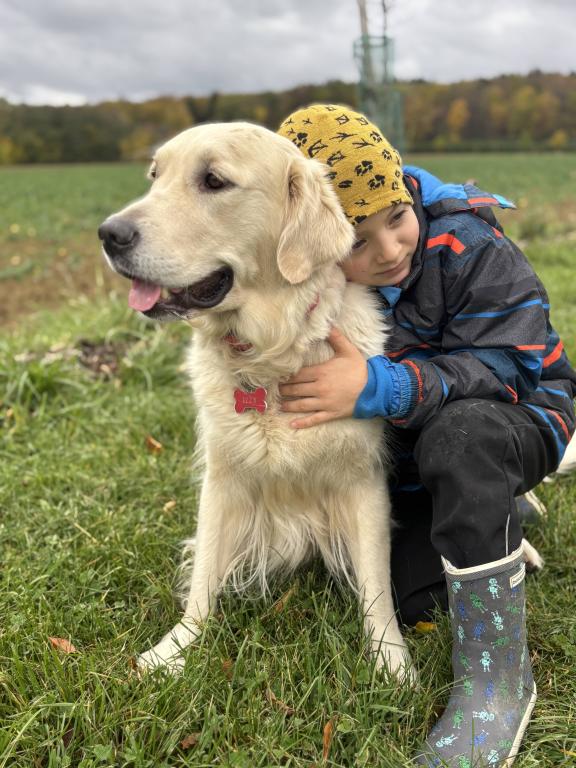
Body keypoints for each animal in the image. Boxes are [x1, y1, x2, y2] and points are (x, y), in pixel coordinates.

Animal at [98, 122, 415, 680]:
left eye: (214, 181)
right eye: (156, 176)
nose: (109, 234)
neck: (272, 358)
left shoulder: (363, 482)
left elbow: (377, 586)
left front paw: (390, 662)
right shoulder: (222, 478)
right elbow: (204, 574)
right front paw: (176, 649)